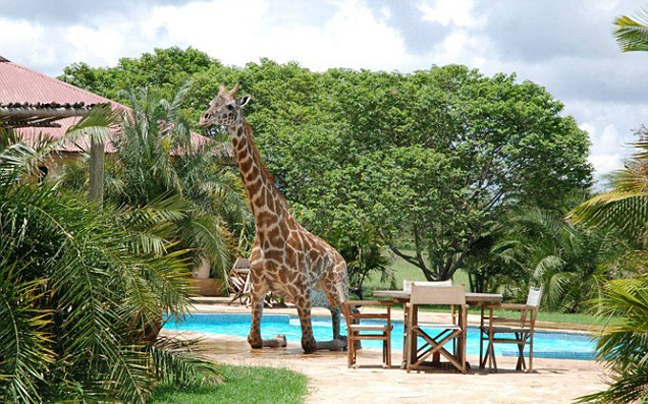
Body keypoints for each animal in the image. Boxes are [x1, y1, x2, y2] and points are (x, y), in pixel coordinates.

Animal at [199, 81, 349, 353]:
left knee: (351, 320)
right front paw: (280, 336)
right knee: (335, 312)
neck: (267, 227)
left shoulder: (301, 291)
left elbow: (309, 343)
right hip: (321, 293)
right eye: (210, 103)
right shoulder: (258, 289)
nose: (204, 118)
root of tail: (339, 256)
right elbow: (254, 340)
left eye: (230, 106)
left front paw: (335, 341)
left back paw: (347, 339)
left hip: (336, 287)